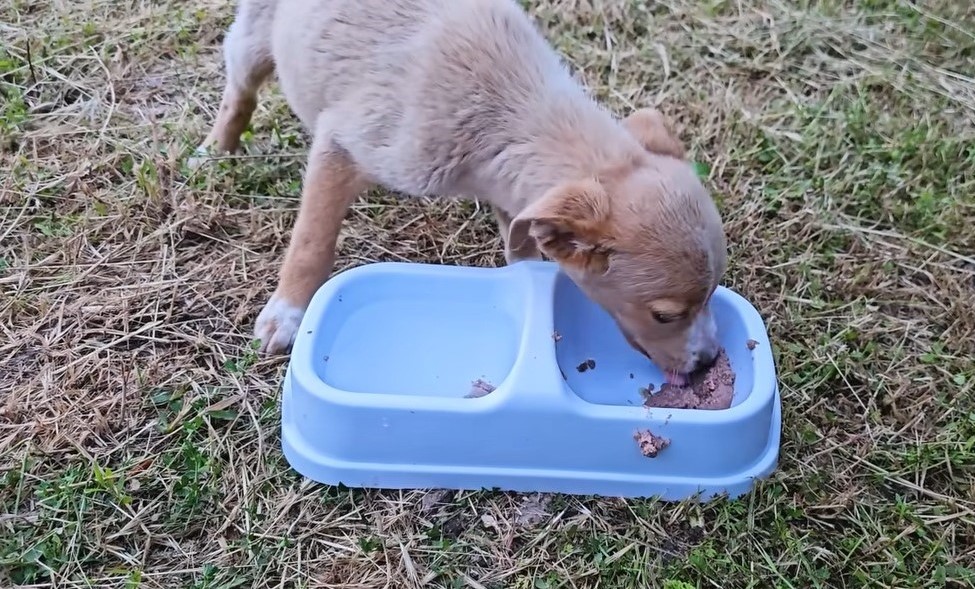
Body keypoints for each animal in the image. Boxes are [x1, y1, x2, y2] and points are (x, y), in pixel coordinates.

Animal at [194, 0, 728, 382]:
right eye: (664, 316)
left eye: (713, 294)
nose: (708, 361)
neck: (511, 111)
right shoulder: (343, 144)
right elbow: (312, 240)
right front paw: (286, 314)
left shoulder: (511, 191)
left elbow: (521, 241)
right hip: (257, 34)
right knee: (240, 88)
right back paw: (214, 150)